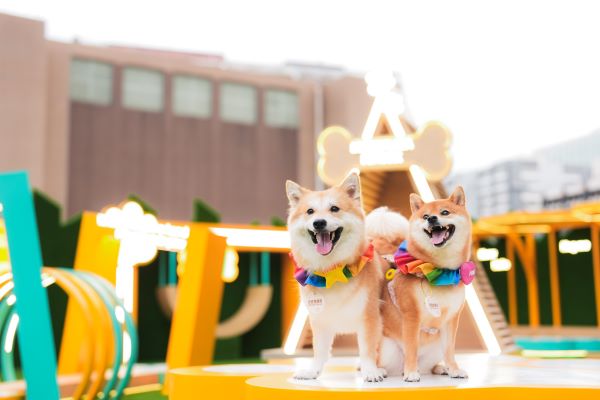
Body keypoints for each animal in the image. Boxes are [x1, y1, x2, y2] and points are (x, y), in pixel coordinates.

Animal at [288, 173, 390, 382]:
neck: (332, 271)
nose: (319, 222)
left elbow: (367, 349)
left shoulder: (369, 317)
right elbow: (319, 351)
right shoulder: (320, 319)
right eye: (310, 211)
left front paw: (370, 371)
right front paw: (313, 371)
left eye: (334, 209)